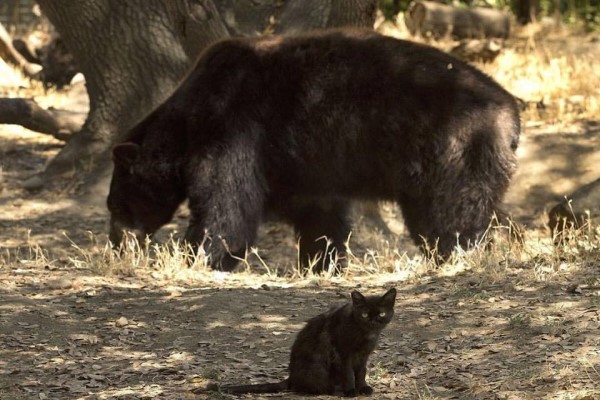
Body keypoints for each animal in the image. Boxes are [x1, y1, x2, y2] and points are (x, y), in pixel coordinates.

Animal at [108, 28, 520, 272]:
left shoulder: (231, 127)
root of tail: (511, 113)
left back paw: (455, 255)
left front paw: (200, 254)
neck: (188, 120)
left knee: (451, 214)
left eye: (116, 205)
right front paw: (320, 260)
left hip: (455, 148)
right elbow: (319, 211)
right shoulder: (303, 165)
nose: (116, 245)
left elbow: (226, 202)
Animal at [204, 288, 396, 396]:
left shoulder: (364, 356)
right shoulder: (344, 353)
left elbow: (361, 372)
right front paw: (351, 391)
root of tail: (291, 377)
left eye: (381, 313)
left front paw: (363, 388)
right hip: (317, 368)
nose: (373, 321)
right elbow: (349, 373)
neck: (366, 334)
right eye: (364, 314)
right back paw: (335, 389)